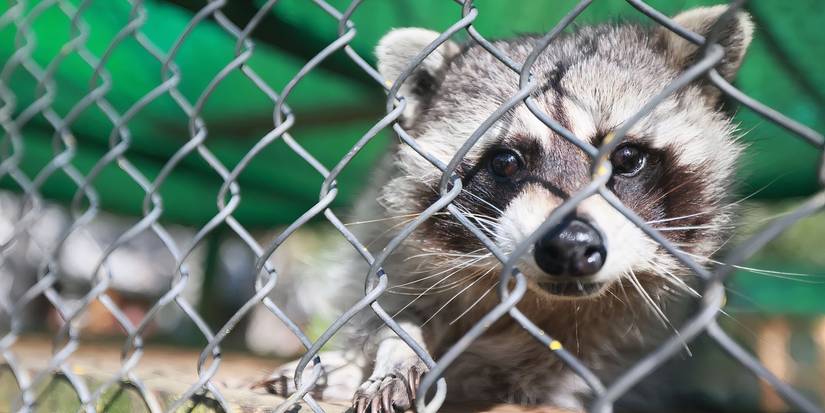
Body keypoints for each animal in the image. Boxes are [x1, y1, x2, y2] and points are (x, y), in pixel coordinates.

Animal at [268, 5, 753, 412]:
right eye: (505, 162)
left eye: (628, 158)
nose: (570, 246)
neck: (545, 305)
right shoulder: (393, 242)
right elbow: (394, 306)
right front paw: (398, 344)